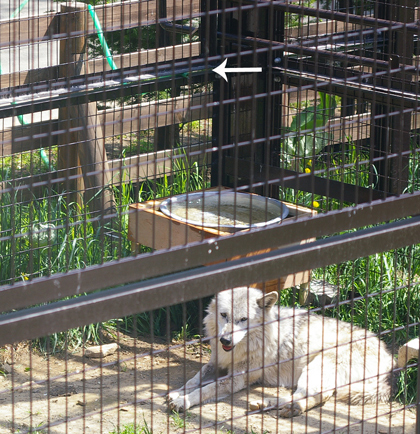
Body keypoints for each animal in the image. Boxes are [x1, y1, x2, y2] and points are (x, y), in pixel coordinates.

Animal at [167, 284, 394, 418]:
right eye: (224, 315)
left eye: (243, 320)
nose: (225, 339)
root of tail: (389, 356)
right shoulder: (215, 364)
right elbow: (194, 380)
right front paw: (177, 392)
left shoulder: (236, 379)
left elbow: (205, 389)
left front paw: (183, 401)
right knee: (313, 396)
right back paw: (266, 404)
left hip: (316, 367)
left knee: (314, 396)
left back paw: (286, 408)